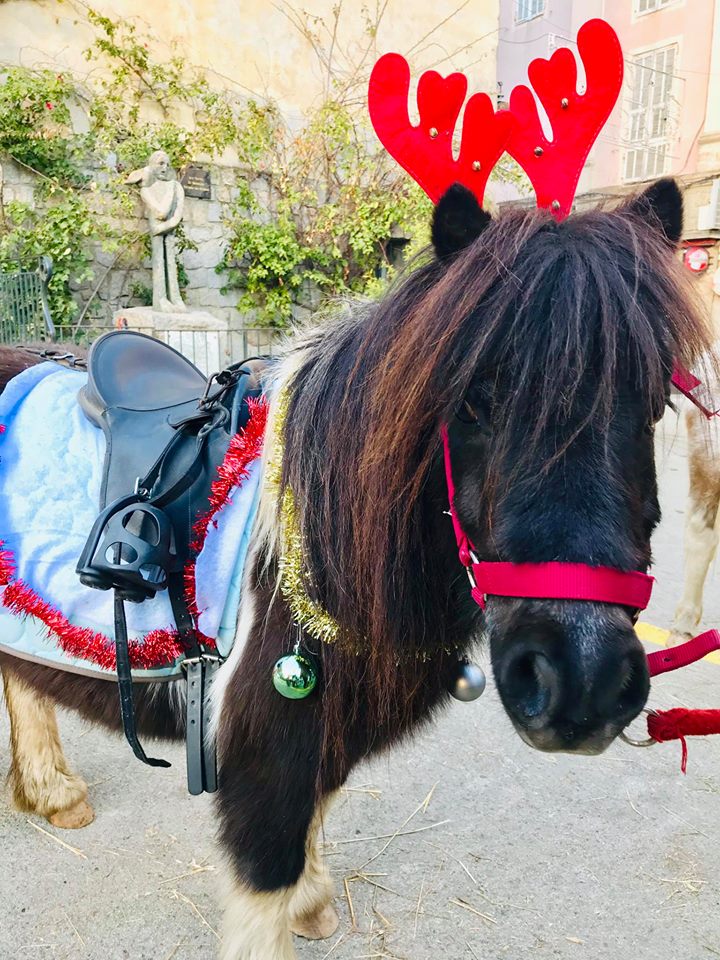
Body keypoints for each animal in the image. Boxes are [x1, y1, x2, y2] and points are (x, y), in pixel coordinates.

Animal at [0, 182, 712, 960]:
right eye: (475, 399)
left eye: (655, 400)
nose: (582, 684)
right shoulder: (264, 767)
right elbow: (266, 893)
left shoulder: (328, 735)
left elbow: (321, 810)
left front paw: (314, 903)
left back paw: (53, 793)